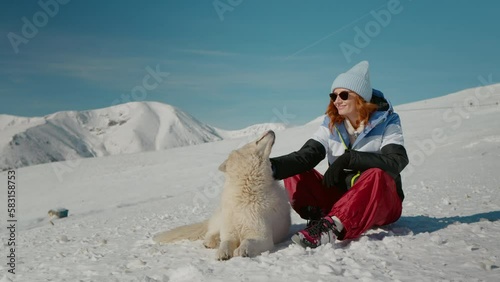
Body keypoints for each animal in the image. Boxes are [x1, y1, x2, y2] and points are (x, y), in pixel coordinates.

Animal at [154, 130, 292, 260]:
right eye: (250, 142)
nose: (271, 131)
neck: (246, 190)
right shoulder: (229, 233)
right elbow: (226, 243)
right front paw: (222, 253)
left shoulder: (262, 236)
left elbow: (247, 241)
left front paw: (242, 250)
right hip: (220, 220)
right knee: (211, 232)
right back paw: (210, 242)